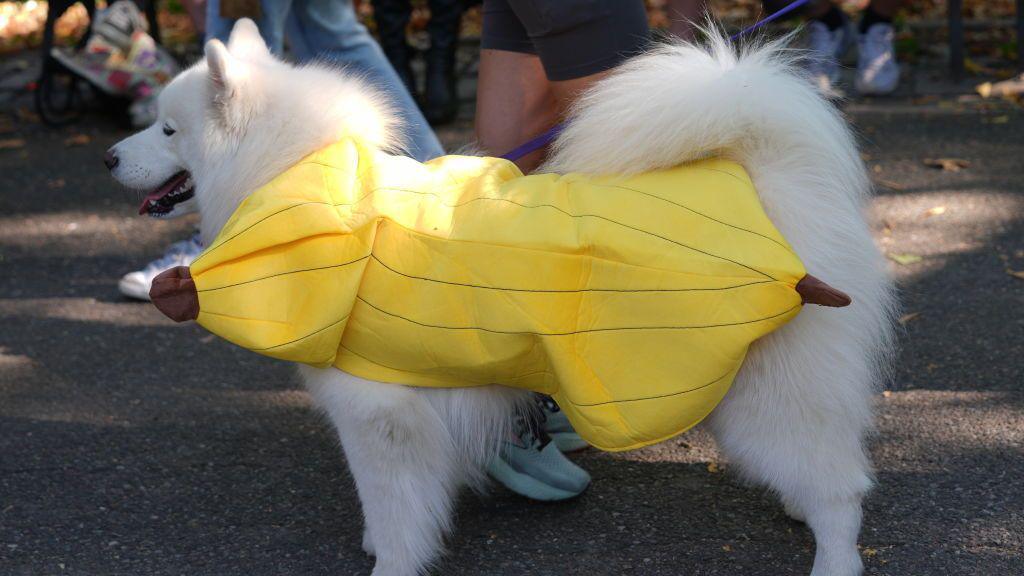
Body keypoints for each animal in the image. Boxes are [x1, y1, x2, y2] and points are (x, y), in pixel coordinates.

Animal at [108, 17, 897, 573]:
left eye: (169, 129)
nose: (110, 155)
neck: (304, 179)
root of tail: (766, 177)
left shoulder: (381, 416)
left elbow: (395, 509)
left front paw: (390, 563)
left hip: (765, 389)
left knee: (843, 486)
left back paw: (832, 556)